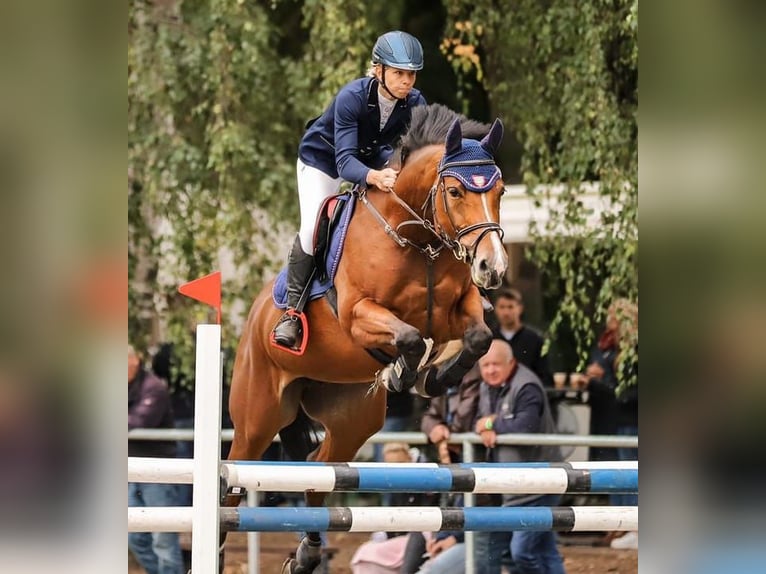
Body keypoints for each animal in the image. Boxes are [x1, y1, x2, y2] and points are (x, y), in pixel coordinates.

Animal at [224, 104, 508, 573]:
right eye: (454, 192)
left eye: (500, 191)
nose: (493, 268)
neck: (417, 240)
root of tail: (253, 318)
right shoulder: (359, 315)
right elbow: (410, 338)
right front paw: (401, 374)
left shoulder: (456, 312)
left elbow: (479, 337)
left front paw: (433, 378)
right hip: (256, 417)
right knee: (231, 481)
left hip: (351, 419)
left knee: (318, 471)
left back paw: (306, 556)